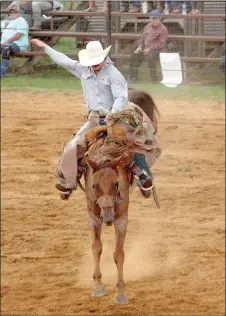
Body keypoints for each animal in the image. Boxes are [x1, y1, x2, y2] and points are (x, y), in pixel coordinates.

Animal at [84, 127, 132, 304]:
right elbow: (96, 248)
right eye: (94, 185)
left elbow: (119, 254)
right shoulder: (93, 218)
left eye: (116, 183)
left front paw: (121, 293)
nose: (108, 217)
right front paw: (98, 286)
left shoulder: (122, 219)